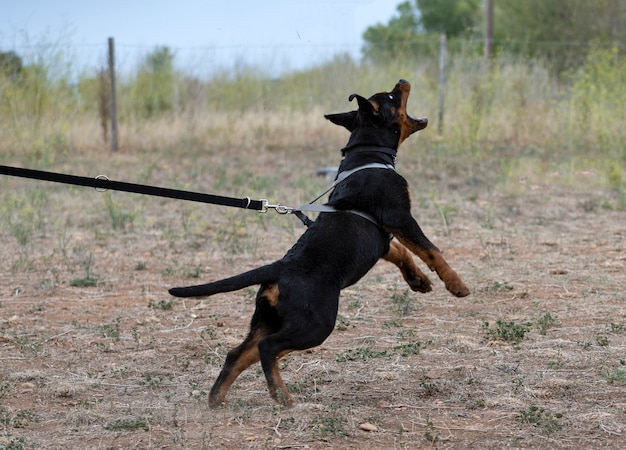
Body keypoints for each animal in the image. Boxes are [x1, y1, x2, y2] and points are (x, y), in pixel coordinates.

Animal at [168, 80, 466, 408]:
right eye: (391, 97)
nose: (402, 81)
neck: (368, 157)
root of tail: (279, 269)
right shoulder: (400, 217)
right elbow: (431, 250)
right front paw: (457, 285)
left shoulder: (384, 240)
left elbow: (404, 253)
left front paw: (419, 281)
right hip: (316, 323)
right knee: (268, 348)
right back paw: (282, 396)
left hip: (268, 319)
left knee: (238, 353)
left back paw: (217, 401)